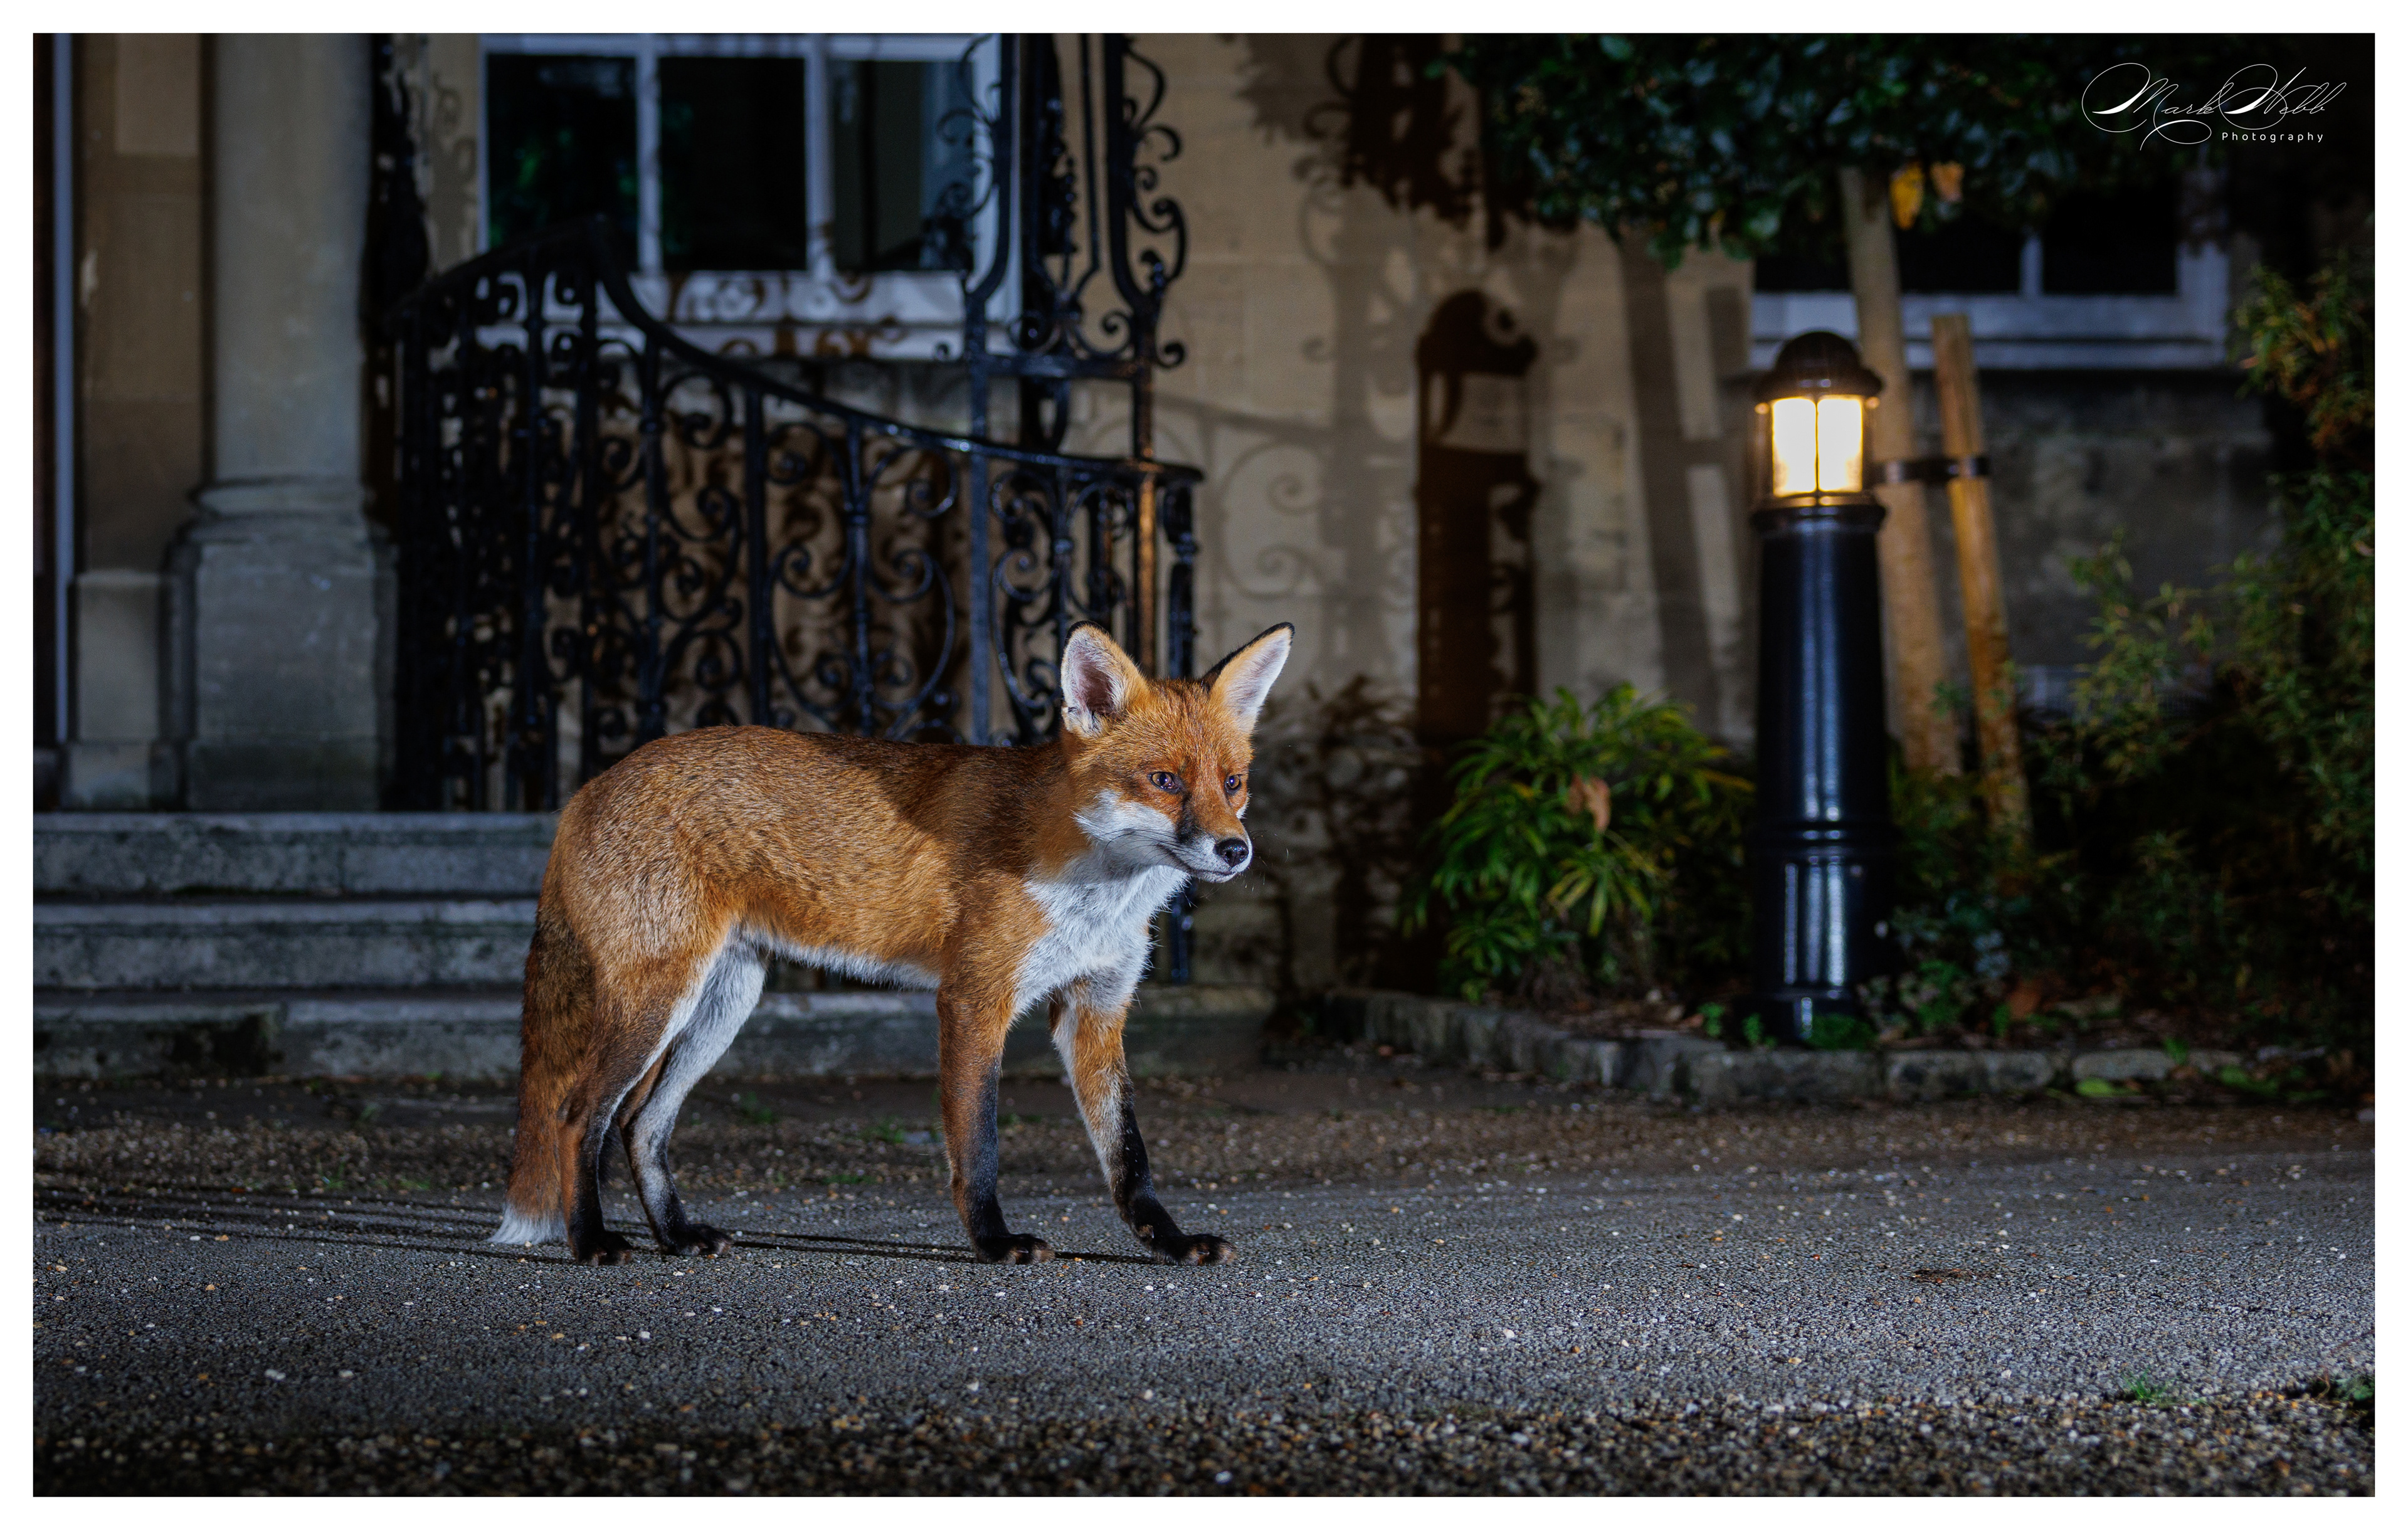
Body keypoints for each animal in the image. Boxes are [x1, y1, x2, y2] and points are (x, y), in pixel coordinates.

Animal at [491, 619, 1293, 1267]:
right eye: (1164, 781)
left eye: (1233, 783)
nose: (1235, 850)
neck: (1087, 877)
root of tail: (588, 788)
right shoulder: (974, 999)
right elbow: (979, 1146)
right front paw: (995, 1242)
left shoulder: (1095, 1007)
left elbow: (1129, 1154)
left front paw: (1170, 1241)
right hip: (658, 1001)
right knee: (577, 1116)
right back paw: (591, 1241)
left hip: (723, 1003)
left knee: (639, 1125)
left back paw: (676, 1236)